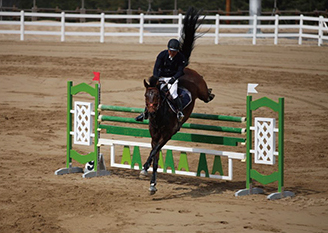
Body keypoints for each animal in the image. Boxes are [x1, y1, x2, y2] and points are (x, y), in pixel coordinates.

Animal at [139, 6, 214, 195]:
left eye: (158, 96)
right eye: (146, 96)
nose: (150, 112)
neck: (159, 116)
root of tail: (186, 69)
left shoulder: (167, 134)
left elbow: (155, 152)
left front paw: (144, 169)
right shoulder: (154, 135)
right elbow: (155, 156)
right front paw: (152, 183)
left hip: (201, 90)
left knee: (206, 95)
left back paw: (211, 93)